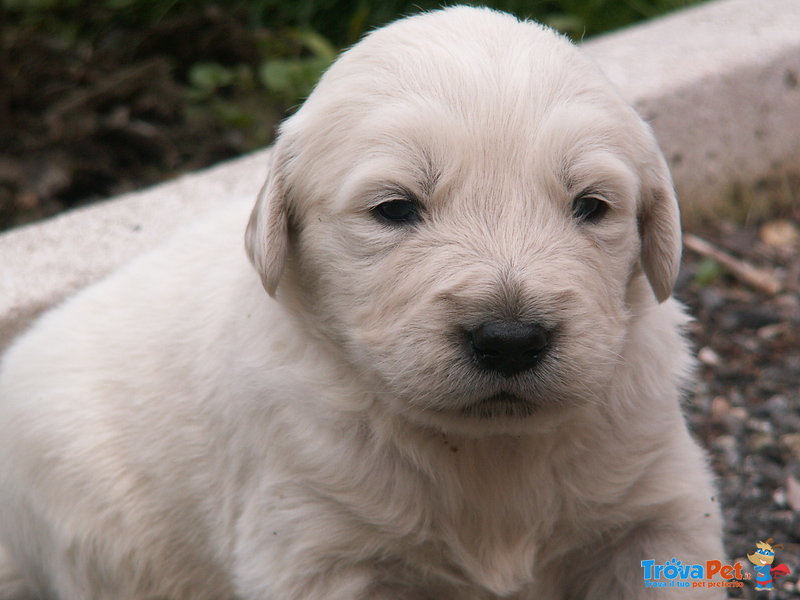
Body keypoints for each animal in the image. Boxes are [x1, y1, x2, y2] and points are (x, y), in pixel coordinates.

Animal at [0, 5, 724, 600]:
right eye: (394, 209)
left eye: (592, 206)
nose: (510, 339)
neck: (487, 453)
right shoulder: (316, 545)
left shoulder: (656, 519)